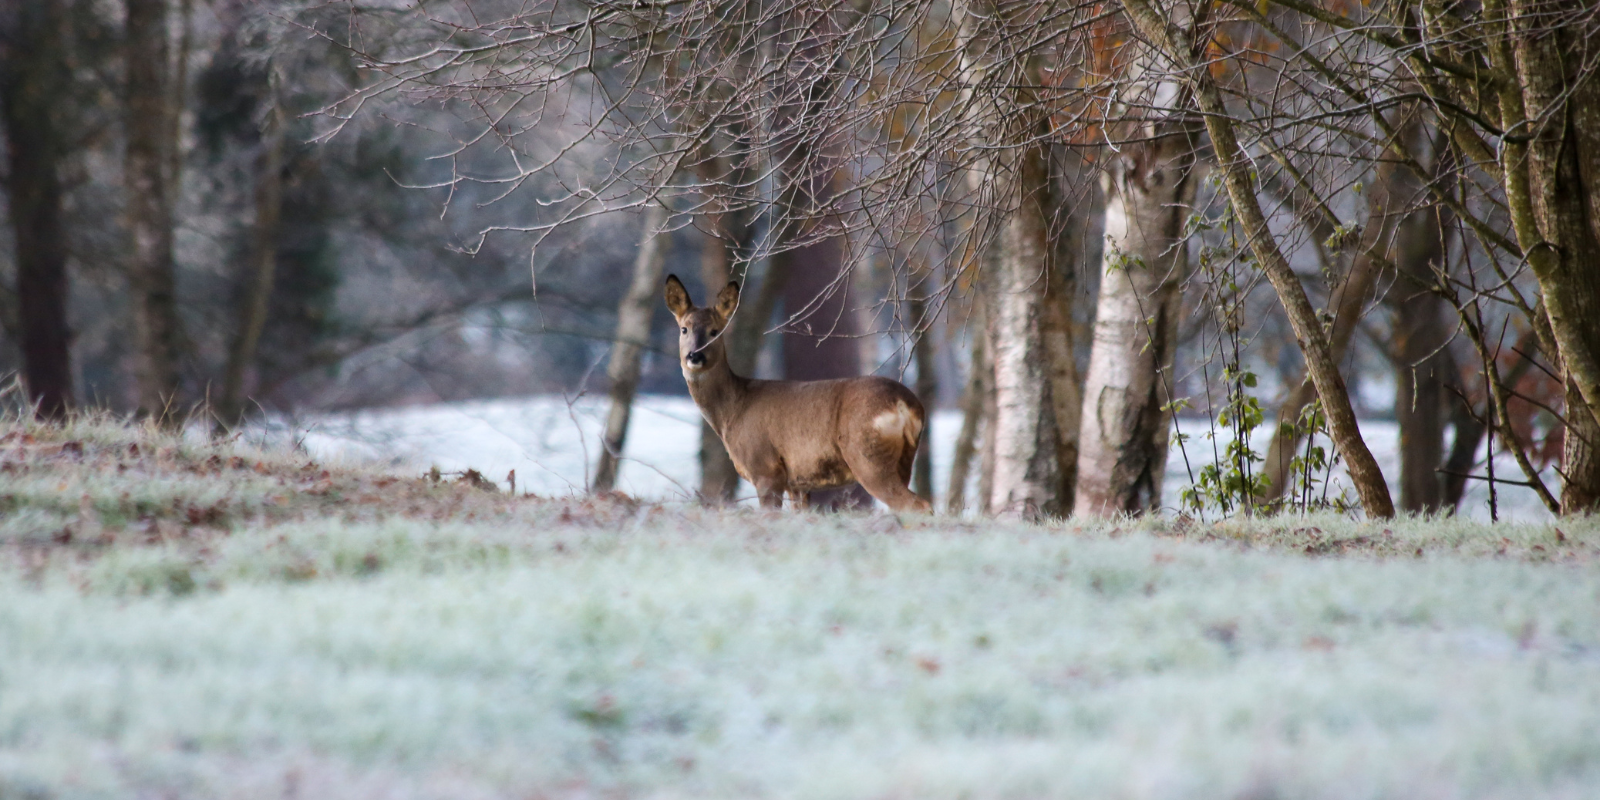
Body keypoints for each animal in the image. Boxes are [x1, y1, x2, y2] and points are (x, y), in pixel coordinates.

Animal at [665, 275, 934, 512]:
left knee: (917, 506)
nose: (695, 356)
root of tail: (906, 404)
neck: (733, 411)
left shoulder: (765, 467)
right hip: (904, 460)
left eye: (715, 331)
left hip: (867, 455)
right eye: (684, 329)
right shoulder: (797, 482)